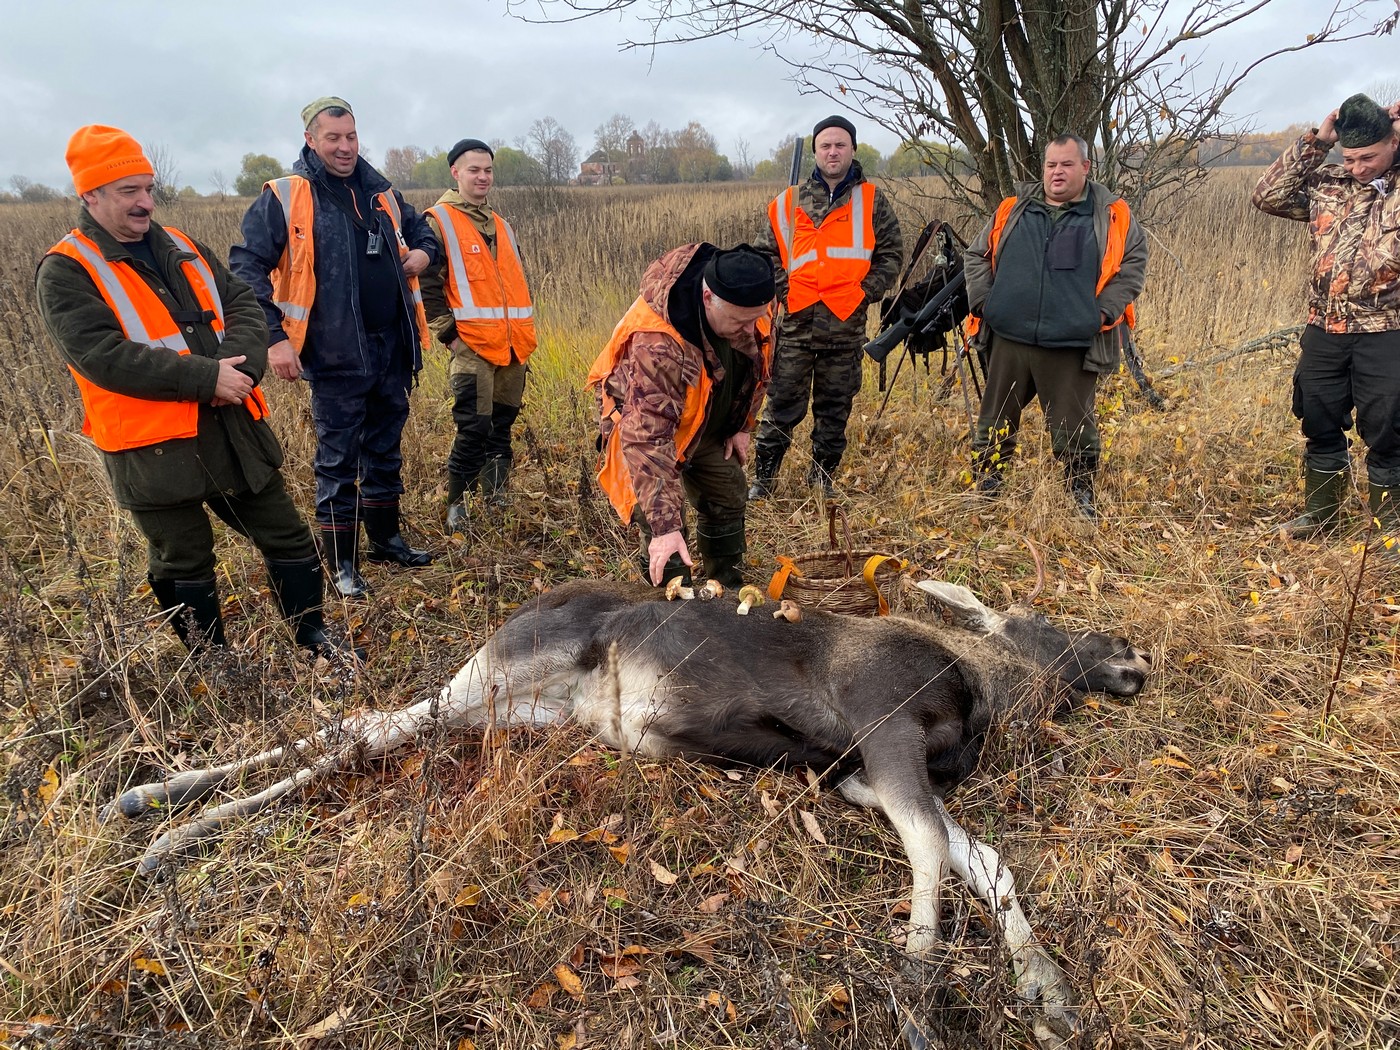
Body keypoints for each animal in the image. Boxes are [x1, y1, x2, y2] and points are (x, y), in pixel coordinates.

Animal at [109, 579, 1148, 1047]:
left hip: (518, 708)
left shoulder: (856, 775)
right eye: (1045, 622)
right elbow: (935, 850)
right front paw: (918, 987)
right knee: (361, 732)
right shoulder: (883, 727)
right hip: (500, 675)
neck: (984, 690)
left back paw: (161, 808)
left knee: (365, 728)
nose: (1134, 659)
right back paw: (163, 817)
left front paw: (1044, 986)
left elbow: (986, 858)